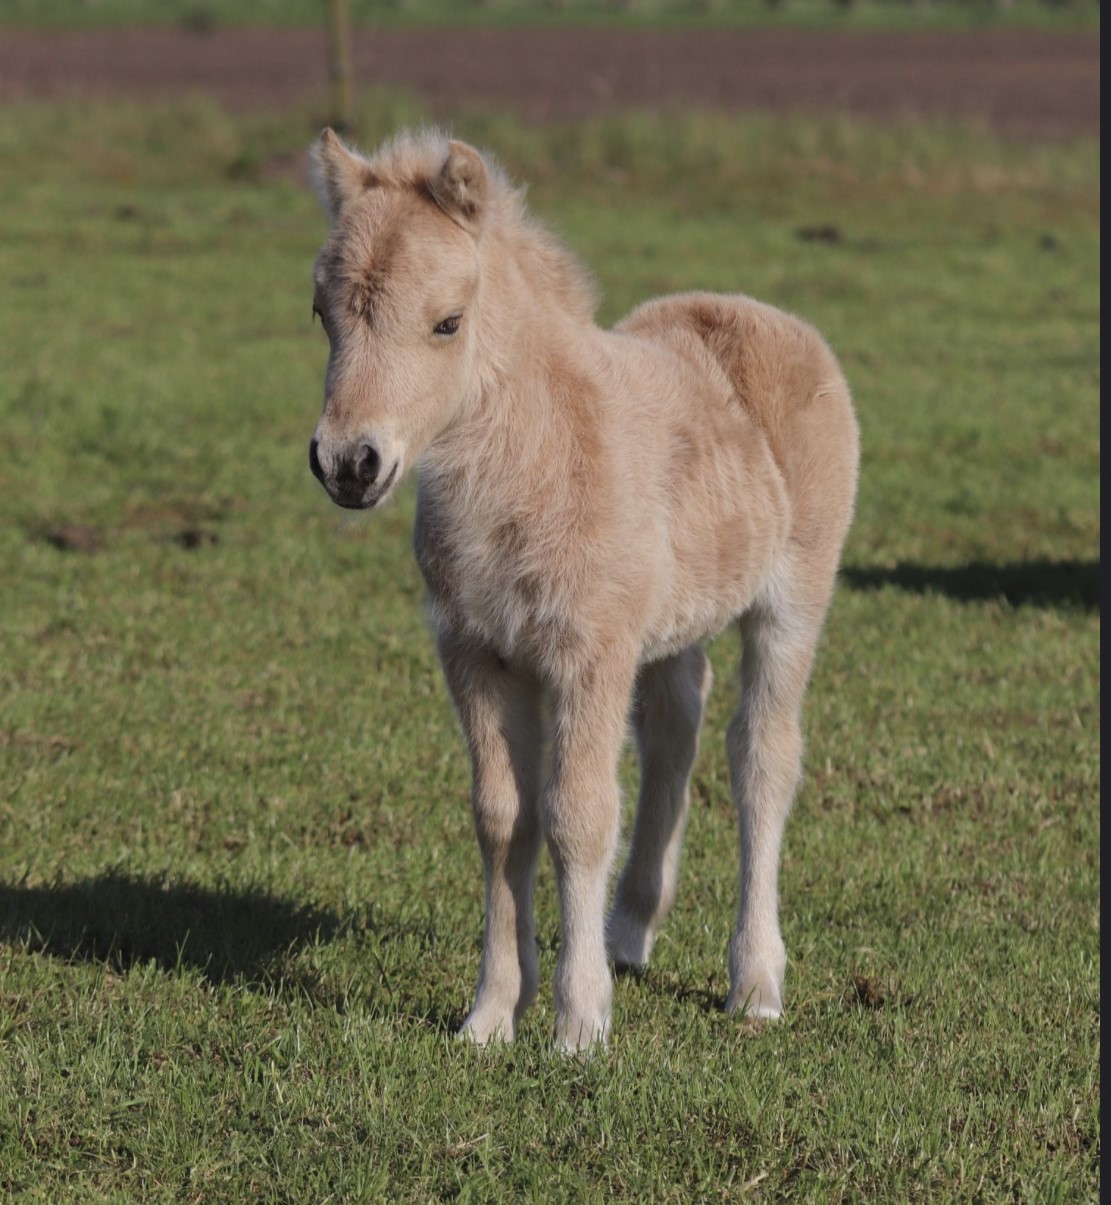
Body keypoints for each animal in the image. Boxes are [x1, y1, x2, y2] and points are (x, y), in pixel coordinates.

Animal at [303, 131, 857, 1050]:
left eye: (447, 321)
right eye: (323, 313)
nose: (349, 463)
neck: (534, 458)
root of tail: (752, 310)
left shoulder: (587, 650)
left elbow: (577, 813)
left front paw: (579, 1021)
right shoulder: (475, 650)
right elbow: (502, 817)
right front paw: (491, 1014)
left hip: (794, 598)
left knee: (762, 757)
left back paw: (754, 981)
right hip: (670, 625)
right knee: (674, 731)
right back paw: (628, 929)